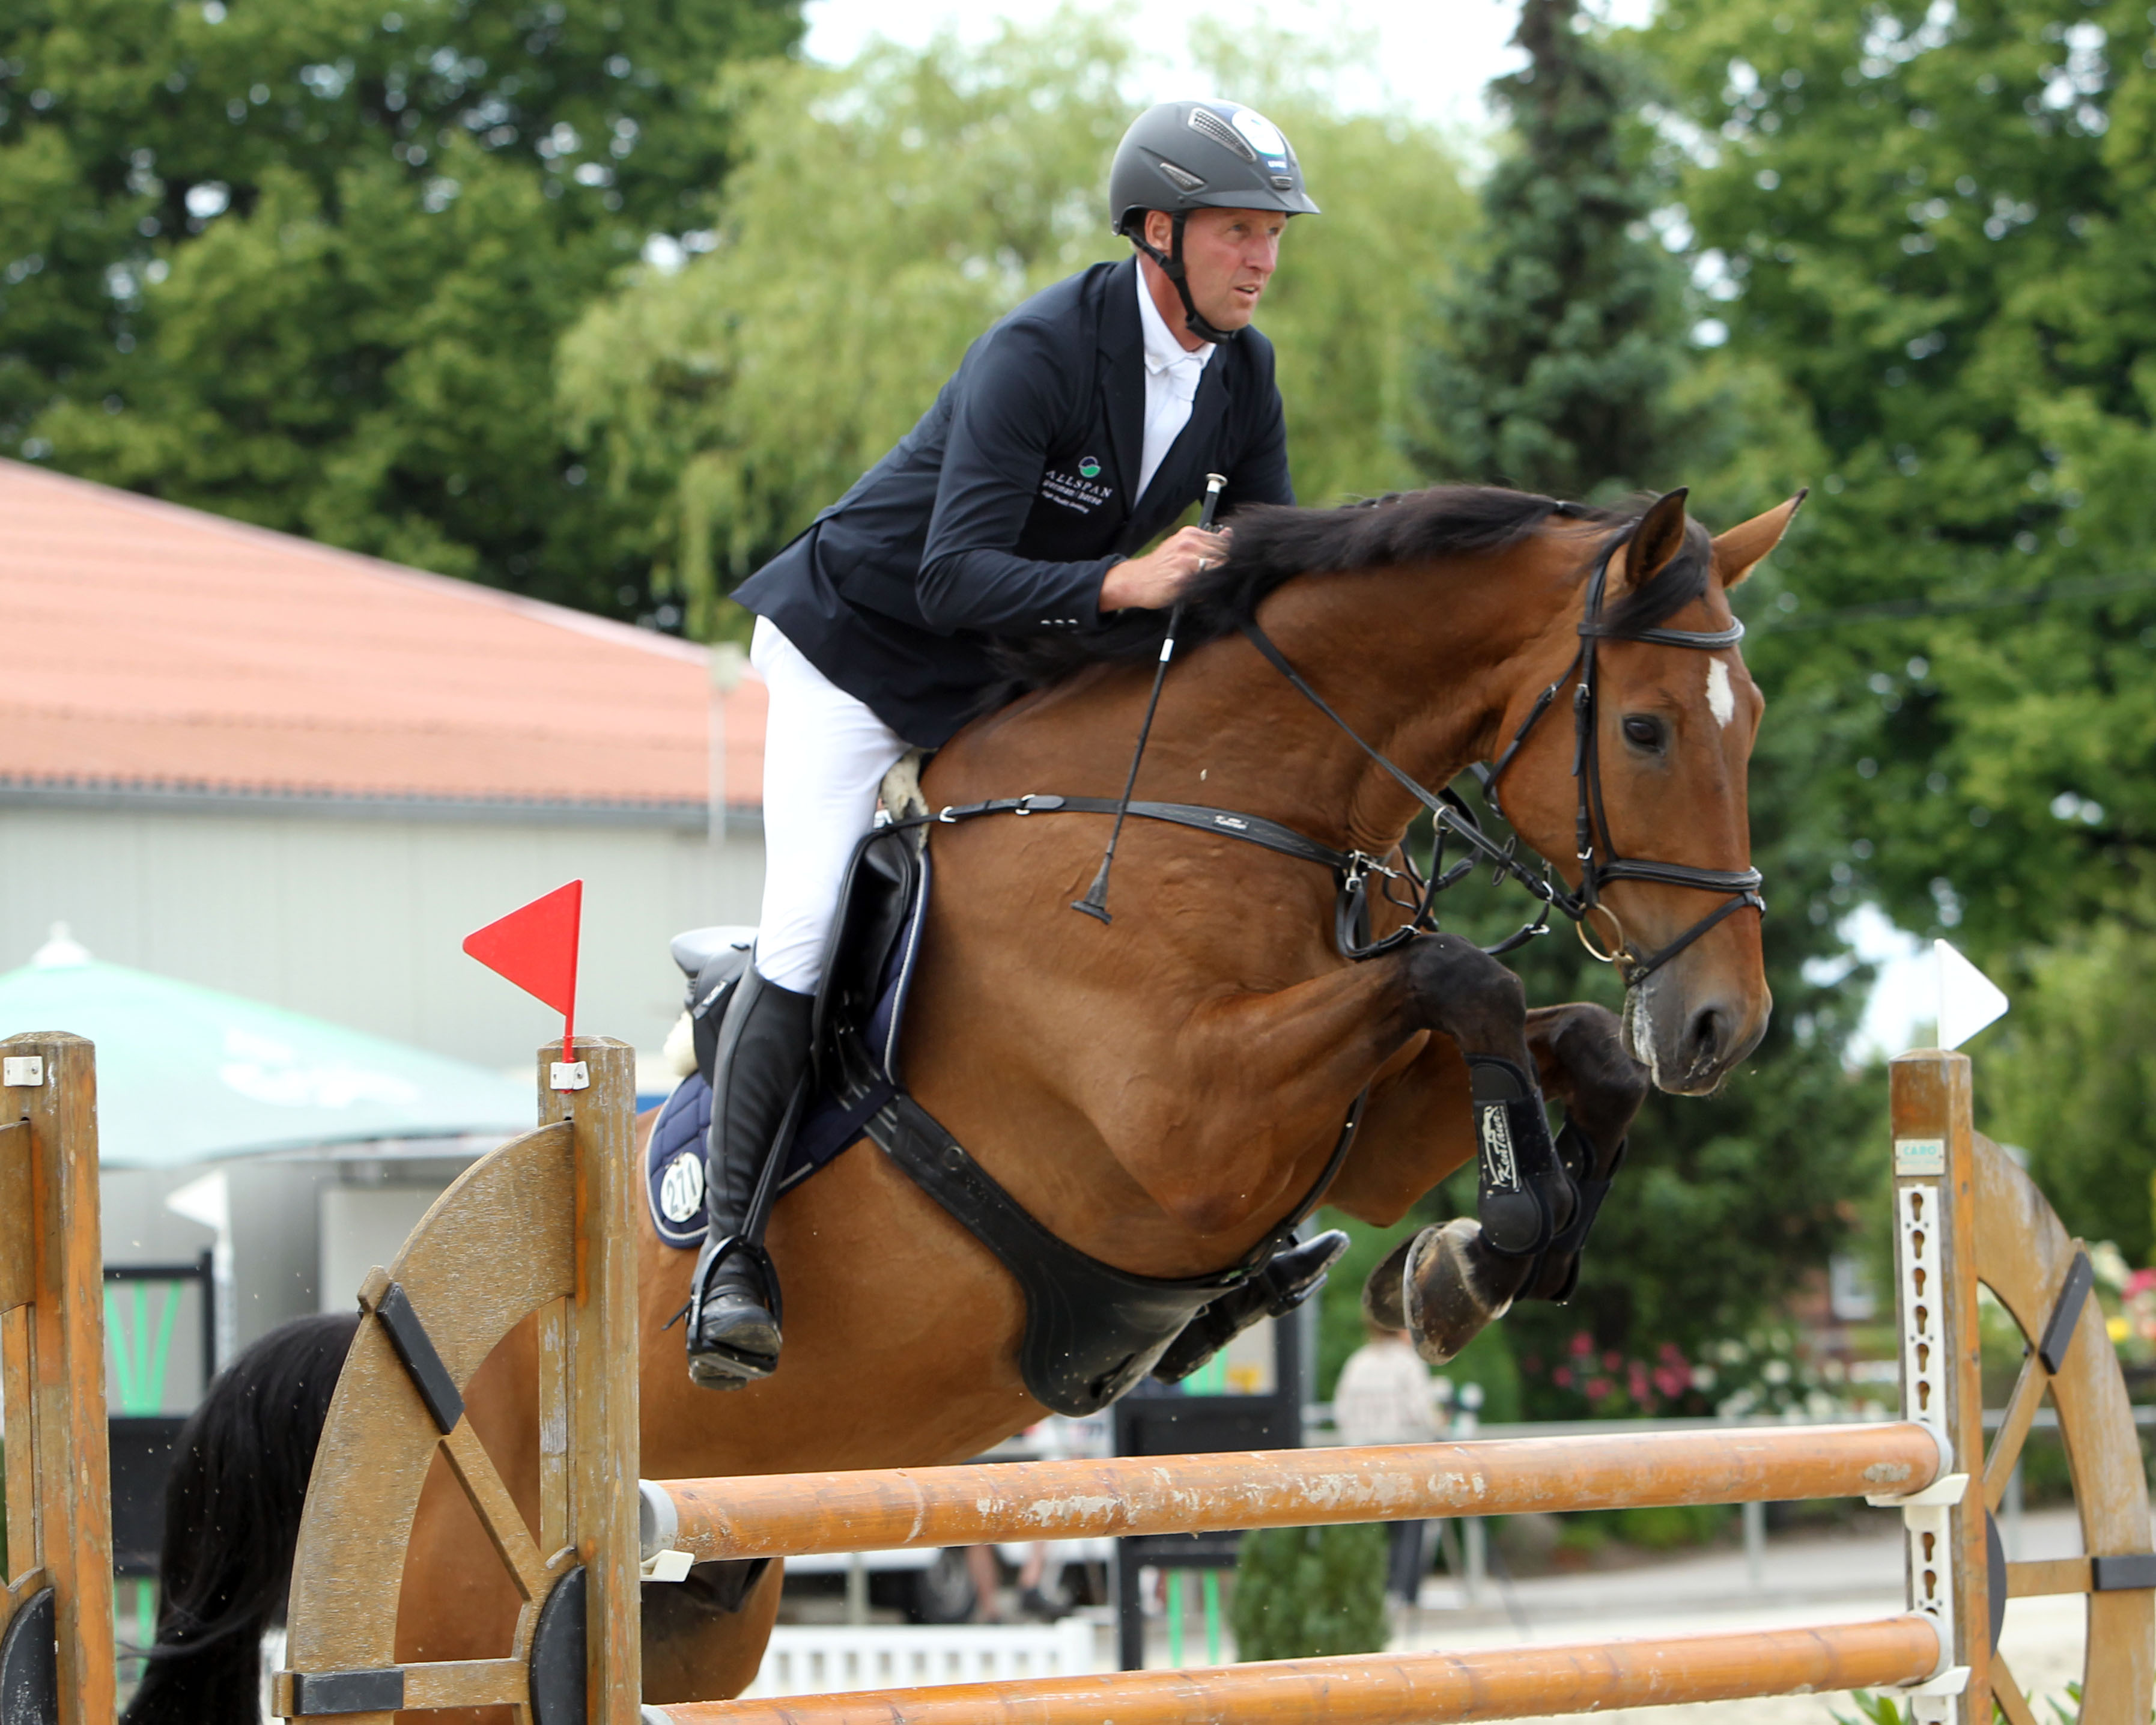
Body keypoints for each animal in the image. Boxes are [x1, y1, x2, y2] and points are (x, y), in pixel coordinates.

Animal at [126, 478, 1794, 1716]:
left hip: (703, 1605)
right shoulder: (1184, 1123)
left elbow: (1553, 1039)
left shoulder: (1349, 1122)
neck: (1219, 805)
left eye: (1753, 722)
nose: (1721, 1023)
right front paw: (1485, 1248)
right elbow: (1466, 980)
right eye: (1644, 727)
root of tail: (374, 1361)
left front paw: (1469, 1264)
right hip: (465, 1617)